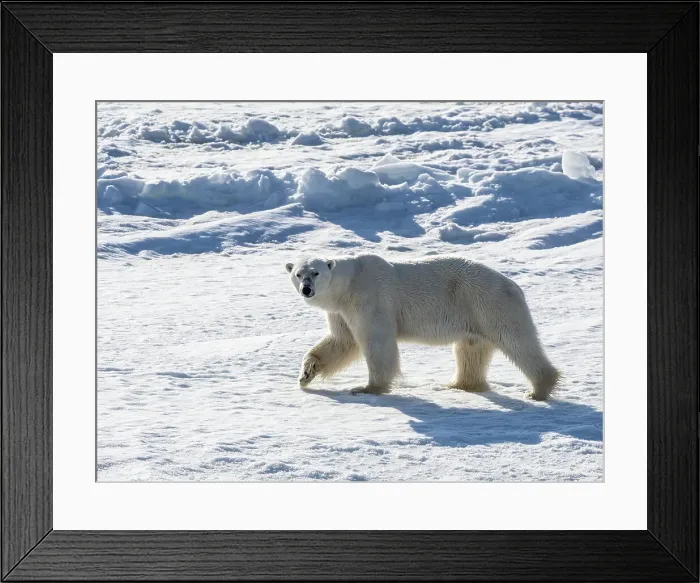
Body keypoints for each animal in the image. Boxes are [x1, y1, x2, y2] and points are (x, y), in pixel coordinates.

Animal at [285, 254, 560, 399]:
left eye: (315, 272)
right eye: (298, 273)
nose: (307, 289)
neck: (349, 283)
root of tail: (513, 285)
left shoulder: (370, 299)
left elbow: (377, 342)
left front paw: (368, 388)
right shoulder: (341, 311)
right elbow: (341, 341)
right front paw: (306, 374)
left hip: (489, 304)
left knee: (516, 341)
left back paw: (538, 389)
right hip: (474, 315)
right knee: (470, 350)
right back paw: (459, 384)